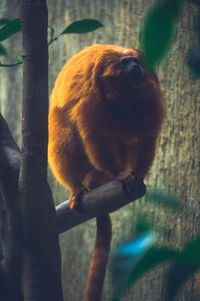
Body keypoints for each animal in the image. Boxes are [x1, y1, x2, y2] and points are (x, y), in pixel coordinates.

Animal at [47, 44, 165, 300]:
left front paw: (137, 176)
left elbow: (147, 137)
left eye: (136, 61)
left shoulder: (150, 96)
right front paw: (120, 175)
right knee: (64, 134)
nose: (135, 66)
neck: (122, 95)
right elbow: (92, 135)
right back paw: (79, 187)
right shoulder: (90, 98)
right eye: (125, 62)